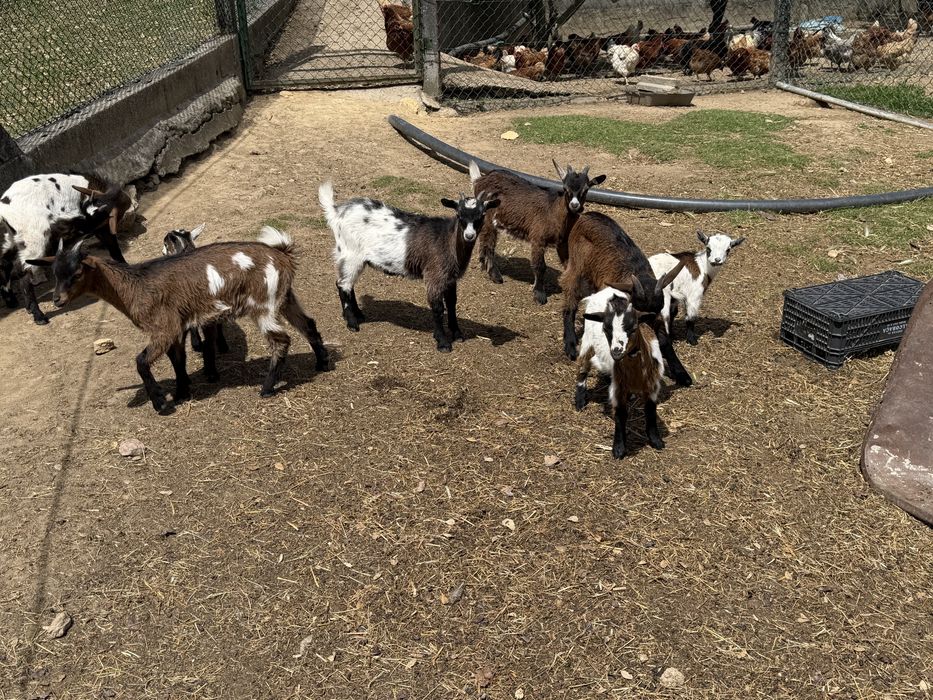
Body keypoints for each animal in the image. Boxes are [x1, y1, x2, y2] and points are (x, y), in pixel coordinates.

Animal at [0, 174, 136, 324]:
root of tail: (4, 209)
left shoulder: (99, 226)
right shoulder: (100, 227)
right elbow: (114, 248)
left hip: (12, 239)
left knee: (5, 263)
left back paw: (12, 301)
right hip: (33, 240)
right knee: (24, 273)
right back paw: (38, 316)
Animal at [318, 181, 499, 352]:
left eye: (482, 215)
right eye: (459, 214)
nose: (469, 235)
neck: (446, 240)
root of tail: (337, 211)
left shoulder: (450, 278)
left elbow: (452, 303)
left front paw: (457, 333)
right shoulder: (434, 275)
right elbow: (438, 308)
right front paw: (442, 342)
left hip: (356, 258)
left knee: (348, 285)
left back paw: (359, 315)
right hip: (350, 253)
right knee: (343, 285)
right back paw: (352, 323)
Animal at [470, 159, 606, 304]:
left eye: (586, 190)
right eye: (565, 188)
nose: (574, 205)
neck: (554, 211)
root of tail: (480, 179)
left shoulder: (562, 243)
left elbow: (569, 264)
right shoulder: (538, 239)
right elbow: (540, 266)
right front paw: (539, 294)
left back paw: (483, 265)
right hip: (489, 218)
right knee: (488, 243)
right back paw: (495, 275)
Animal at [560, 211, 692, 386]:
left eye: (659, 307)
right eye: (637, 309)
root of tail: (587, 214)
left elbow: (664, 340)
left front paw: (682, 373)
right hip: (577, 265)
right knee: (570, 293)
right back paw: (570, 344)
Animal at [575, 287, 667, 458]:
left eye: (633, 328)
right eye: (606, 328)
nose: (616, 351)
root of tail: (604, 291)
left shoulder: (652, 385)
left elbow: (650, 410)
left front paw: (656, 440)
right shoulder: (618, 388)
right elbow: (620, 415)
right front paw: (618, 448)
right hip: (587, 341)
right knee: (582, 367)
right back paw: (579, 401)